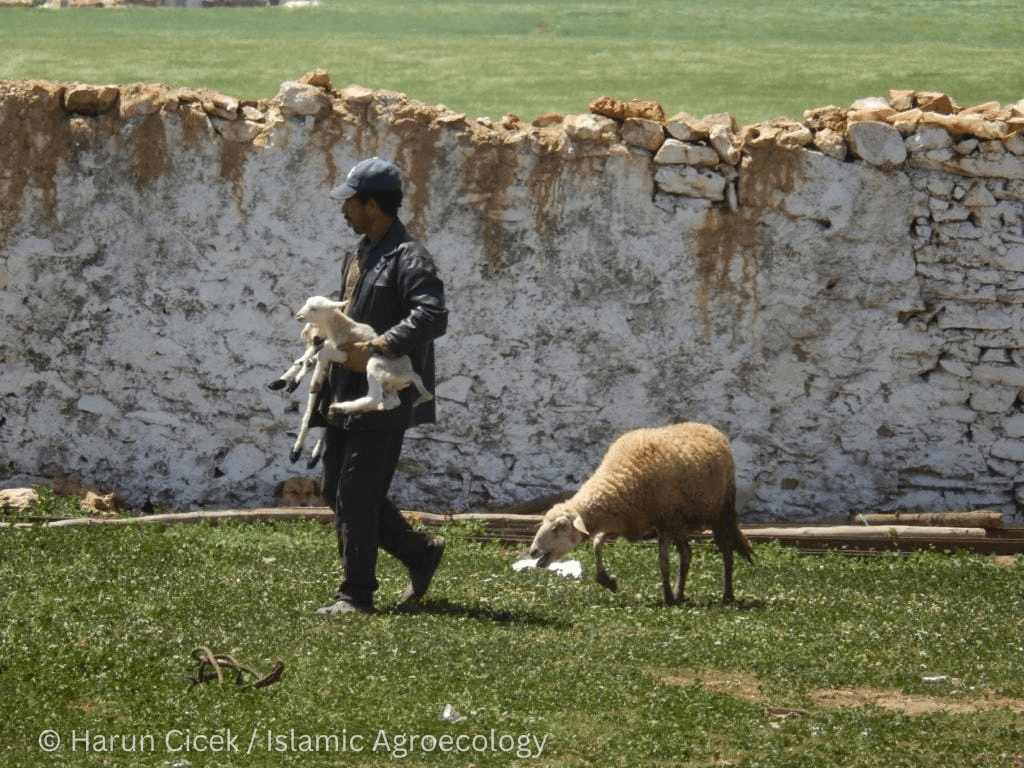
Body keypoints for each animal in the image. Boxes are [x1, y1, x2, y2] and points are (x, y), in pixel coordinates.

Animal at [528, 422, 753, 605]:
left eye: (558, 527)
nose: (533, 551)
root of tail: (707, 427)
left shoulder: (662, 524)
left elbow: (663, 562)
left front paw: (667, 597)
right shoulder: (626, 521)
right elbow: (597, 543)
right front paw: (606, 580)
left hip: (719, 513)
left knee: (726, 550)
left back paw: (726, 594)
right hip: (679, 523)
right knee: (687, 554)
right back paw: (680, 594)